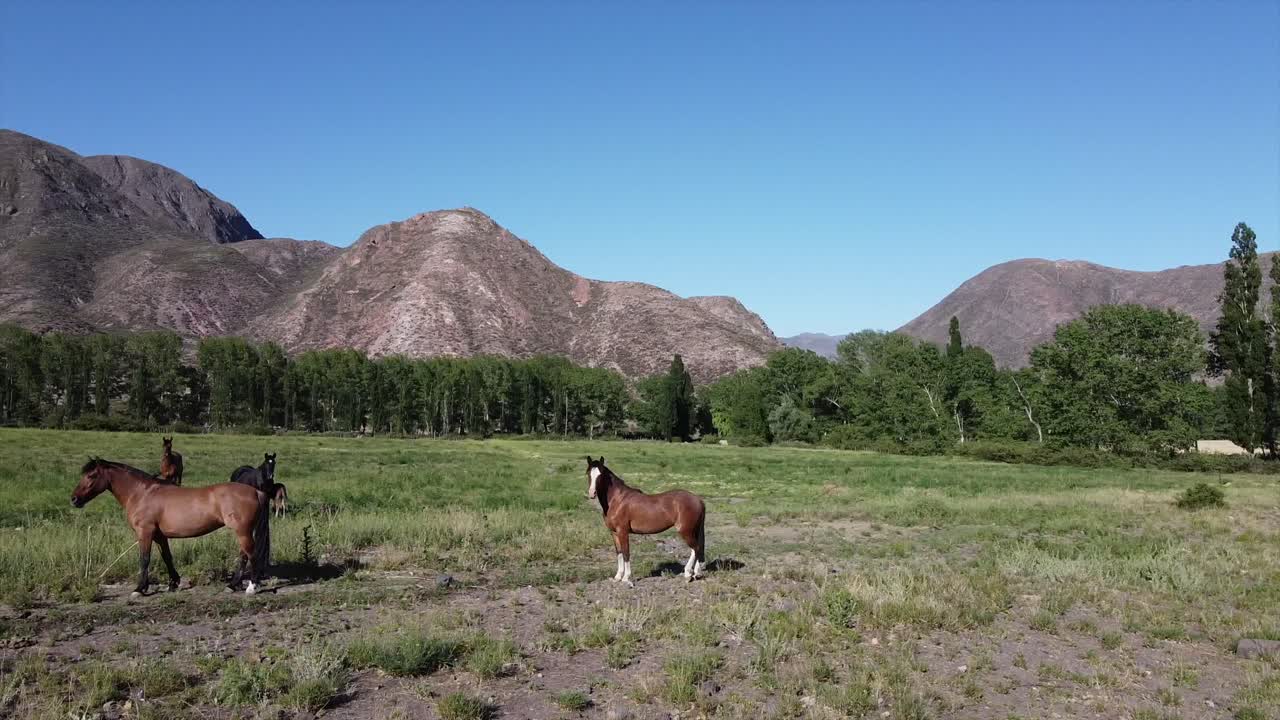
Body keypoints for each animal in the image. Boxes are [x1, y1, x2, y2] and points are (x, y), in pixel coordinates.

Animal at [70, 458, 270, 596]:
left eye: (91, 475)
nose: (74, 499)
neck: (142, 494)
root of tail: (256, 491)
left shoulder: (145, 533)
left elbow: (144, 559)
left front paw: (139, 588)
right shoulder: (159, 536)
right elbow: (167, 557)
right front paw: (173, 583)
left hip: (242, 531)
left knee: (251, 555)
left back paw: (252, 587)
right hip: (243, 532)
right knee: (244, 555)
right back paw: (232, 585)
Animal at [585, 456, 706, 587]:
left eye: (601, 475)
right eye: (588, 473)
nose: (592, 493)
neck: (616, 501)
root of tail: (698, 499)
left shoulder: (623, 532)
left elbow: (626, 553)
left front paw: (626, 578)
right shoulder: (614, 533)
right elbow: (619, 553)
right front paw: (617, 577)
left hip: (685, 531)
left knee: (695, 548)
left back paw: (688, 574)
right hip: (692, 530)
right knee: (697, 549)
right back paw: (696, 574)